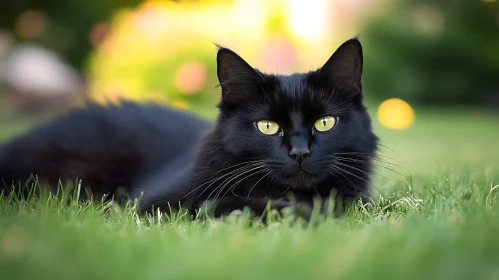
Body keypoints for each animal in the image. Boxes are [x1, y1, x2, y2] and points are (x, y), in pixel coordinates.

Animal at [0, 37, 376, 217]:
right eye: (267, 126)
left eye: (325, 123)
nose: (299, 152)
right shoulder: (151, 204)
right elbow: (223, 204)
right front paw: (300, 213)